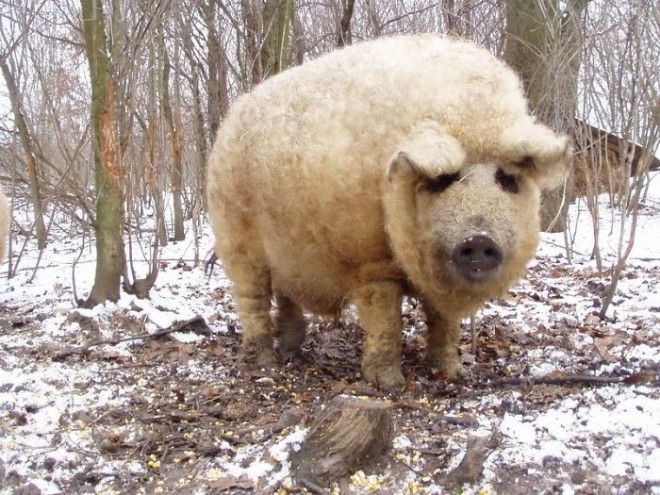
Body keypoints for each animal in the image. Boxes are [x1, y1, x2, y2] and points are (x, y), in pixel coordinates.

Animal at [207, 35, 569, 393]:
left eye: (508, 179)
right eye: (443, 180)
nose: (478, 237)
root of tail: (228, 121)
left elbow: (444, 322)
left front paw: (452, 374)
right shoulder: (370, 260)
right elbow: (386, 320)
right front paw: (390, 385)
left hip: (285, 250)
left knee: (285, 294)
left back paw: (291, 350)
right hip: (236, 239)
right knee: (252, 298)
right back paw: (264, 362)